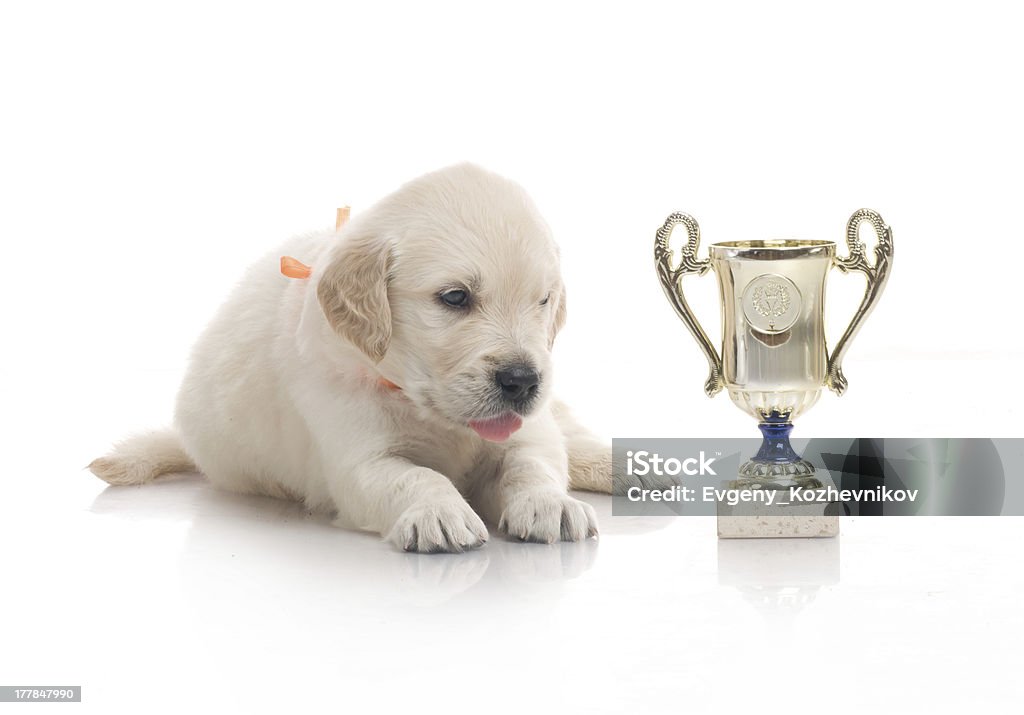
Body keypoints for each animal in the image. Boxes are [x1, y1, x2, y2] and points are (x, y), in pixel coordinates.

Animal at [90, 165, 606, 553]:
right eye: (455, 297)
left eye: (542, 300)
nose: (522, 380)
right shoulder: (358, 460)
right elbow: (414, 477)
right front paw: (438, 512)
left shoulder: (530, 432)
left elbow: (533, 463)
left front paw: (551, 504)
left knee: (575, 439)